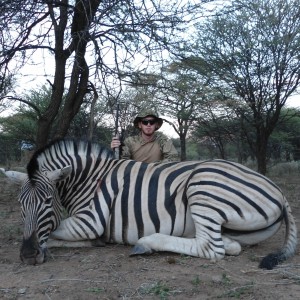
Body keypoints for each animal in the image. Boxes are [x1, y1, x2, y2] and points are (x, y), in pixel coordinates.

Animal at [0, 139, 298, 268]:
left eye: (48, 201)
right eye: (20, 204)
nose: (27, 255)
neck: (88, 177)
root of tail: (280, 192)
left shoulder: (89, 221)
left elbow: (54, 231)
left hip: (204, 188)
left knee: (210, 249)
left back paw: (146, 244)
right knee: (230, 245)